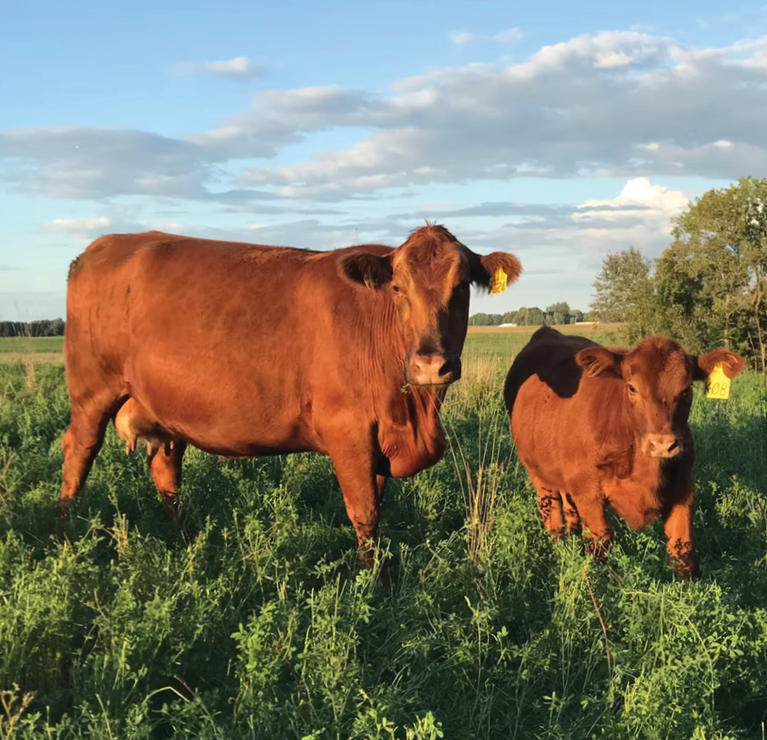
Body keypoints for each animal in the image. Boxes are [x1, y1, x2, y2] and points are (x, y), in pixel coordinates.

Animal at [61, 224, 521, 566]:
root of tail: (104, 244)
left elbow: (376, 509)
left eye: (461, 286)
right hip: (91, 389)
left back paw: (191, 542)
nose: (430, 364)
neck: (413, 413)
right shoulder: (348, 431)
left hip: (163, 407)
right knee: (79, 449)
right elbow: (365, 513)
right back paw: (64, 535)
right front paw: (374, 586)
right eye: (397, 289)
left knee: (166, 471)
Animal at [503, 326, 744, 578]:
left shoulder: (683, 489)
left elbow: (683, 551)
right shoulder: (587, 492)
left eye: (687, 389)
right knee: (553, 520)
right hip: (538, 476)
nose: (662, 444)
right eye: (632, 387)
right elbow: (599, 542)